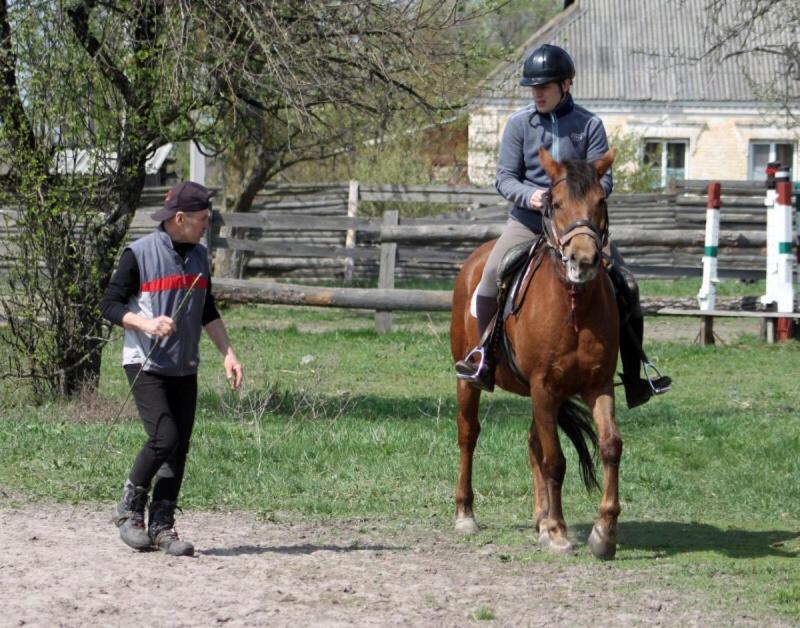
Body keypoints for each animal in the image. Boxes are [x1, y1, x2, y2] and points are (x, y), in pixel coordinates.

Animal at [450, 147, 620, 560]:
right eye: (555, 203)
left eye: (601, 201)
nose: (583, 260)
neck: (573, 305)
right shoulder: (545, 387)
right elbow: (555, 460)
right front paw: (558, 532)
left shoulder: (597, 384)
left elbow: (609, 446)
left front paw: (603, 532)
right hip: (470, 382)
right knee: (468, 436)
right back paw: (465, 513)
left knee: (533, 445)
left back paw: (540, 518)